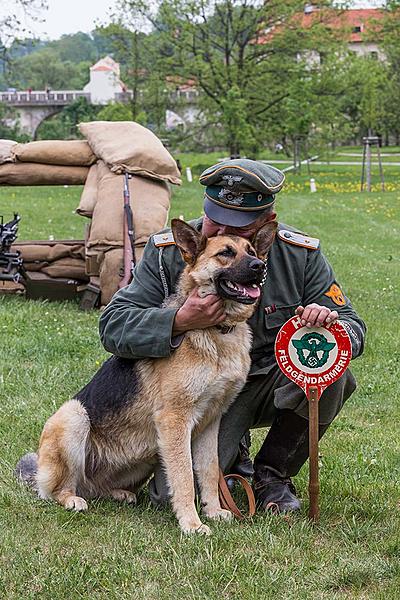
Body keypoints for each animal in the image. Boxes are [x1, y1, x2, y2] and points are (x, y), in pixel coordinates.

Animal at [16, 219, 278, 536]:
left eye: (251, 251)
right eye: (226, 253)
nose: (259, 266)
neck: (218, 331)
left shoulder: (210, 423)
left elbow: (208, 470)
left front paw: (213, 512)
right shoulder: (174, 421)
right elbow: (184, 477)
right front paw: (192, 524)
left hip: (147, 452)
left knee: (97, 488)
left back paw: (118, 493)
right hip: (74, 416)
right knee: (61, 488)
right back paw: (72, 499)